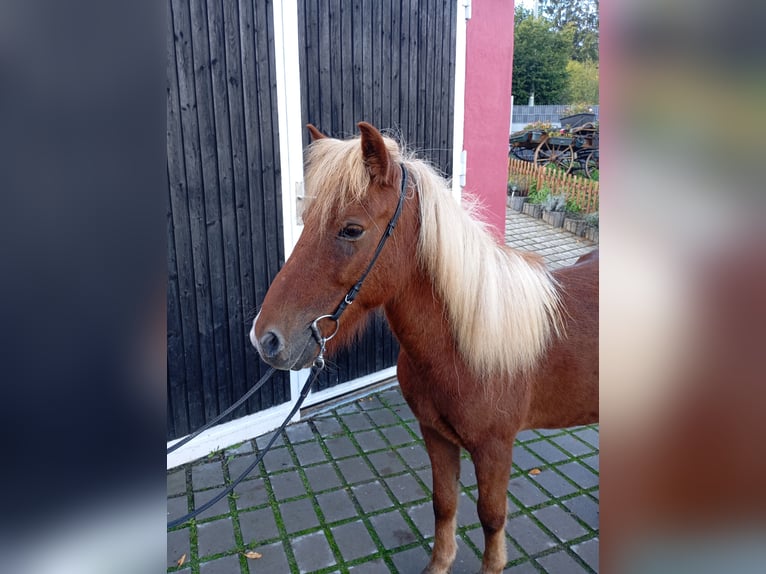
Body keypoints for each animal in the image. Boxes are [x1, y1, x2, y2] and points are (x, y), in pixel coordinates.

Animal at [252, 124, 600, 572]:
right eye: (306, 220)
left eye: (352, 229)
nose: (266, 338)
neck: (464, 346)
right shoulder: (435, 435)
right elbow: (444, 503)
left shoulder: (495, 449)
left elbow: (491, 517)